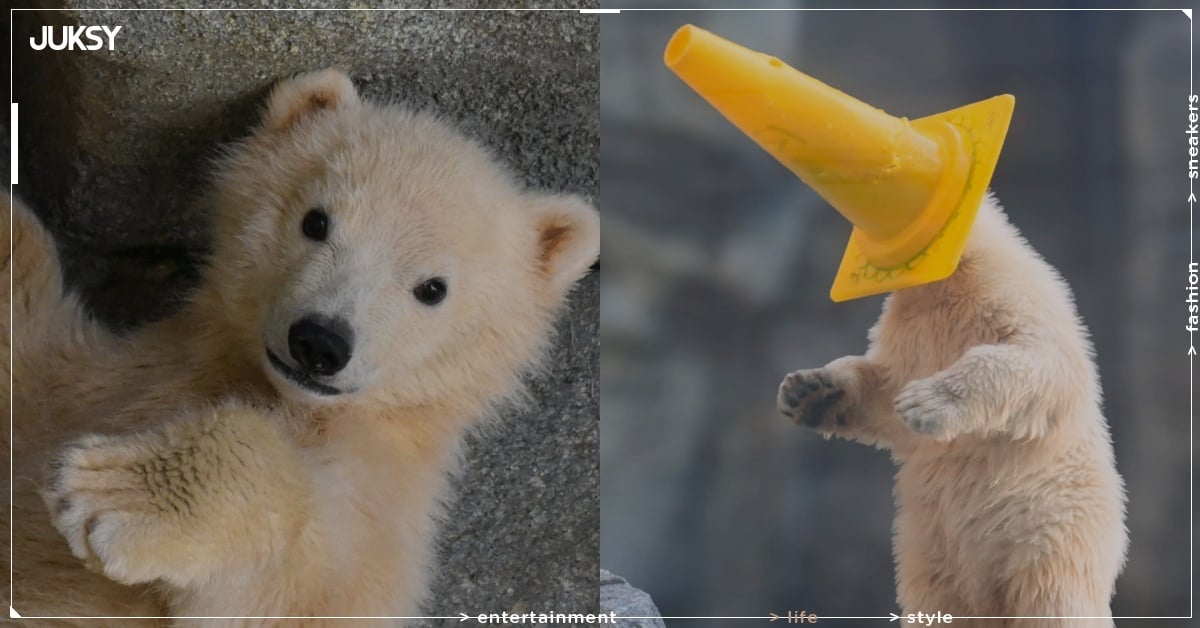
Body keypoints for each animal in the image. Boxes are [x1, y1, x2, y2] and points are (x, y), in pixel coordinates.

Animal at [3, 68, 599, 626]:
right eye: (317, 220)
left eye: (433, 288)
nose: (321, 342)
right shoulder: (85, 377)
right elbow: (26, 337)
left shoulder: (376, 521)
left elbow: (297, 581)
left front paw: (109, 492)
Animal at [776, 196, 1126, 627]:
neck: (944, 284)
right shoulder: (910, 329)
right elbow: (883, 388)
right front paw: (807, 392)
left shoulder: (1004, 291)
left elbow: (1033, 357)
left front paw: (925, 402)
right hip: (930, 553)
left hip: (1047, 534)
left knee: (1051, 602)